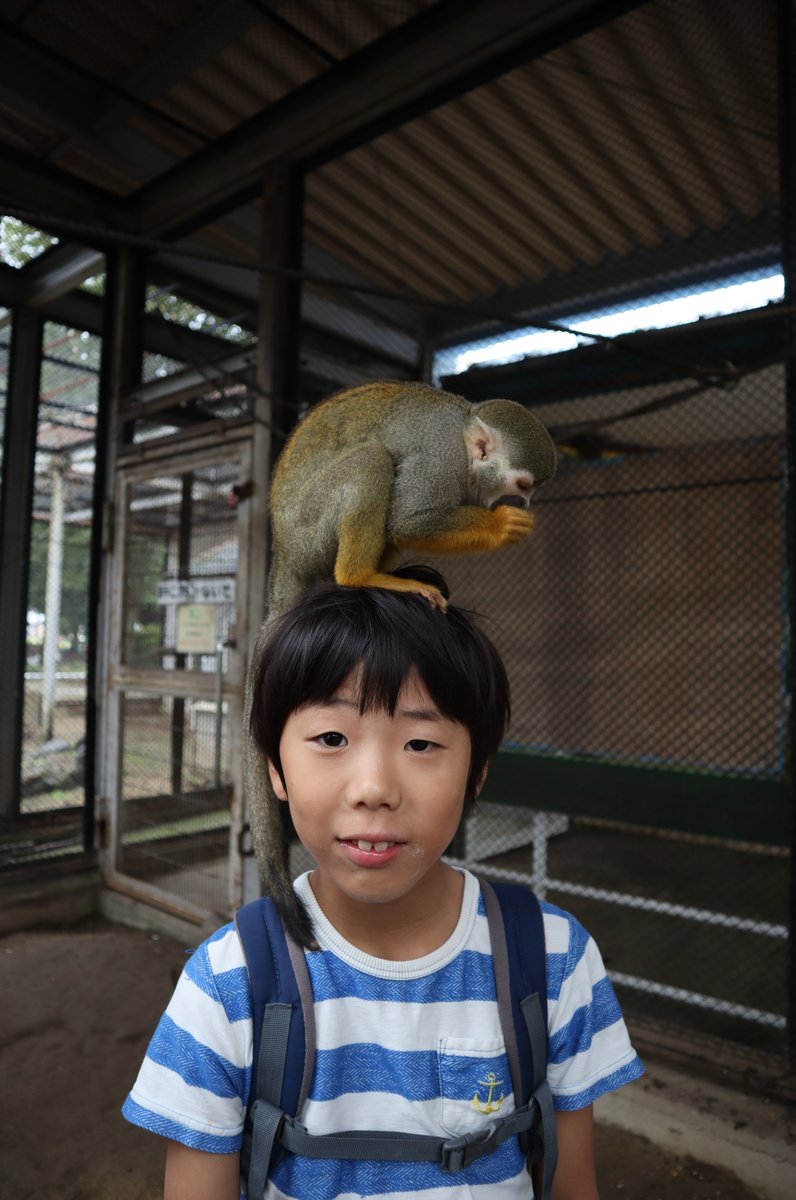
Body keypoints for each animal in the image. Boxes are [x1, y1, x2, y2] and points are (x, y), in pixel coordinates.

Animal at [264, 376, 557, 619]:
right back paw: (360, 576)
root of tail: (283, 550)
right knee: (371, 458)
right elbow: (408, 521)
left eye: (531, 490)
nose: (525, 503)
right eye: (523, 486)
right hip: (306, 532)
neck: (465, 448)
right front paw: (502, 523)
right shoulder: (441, 458)